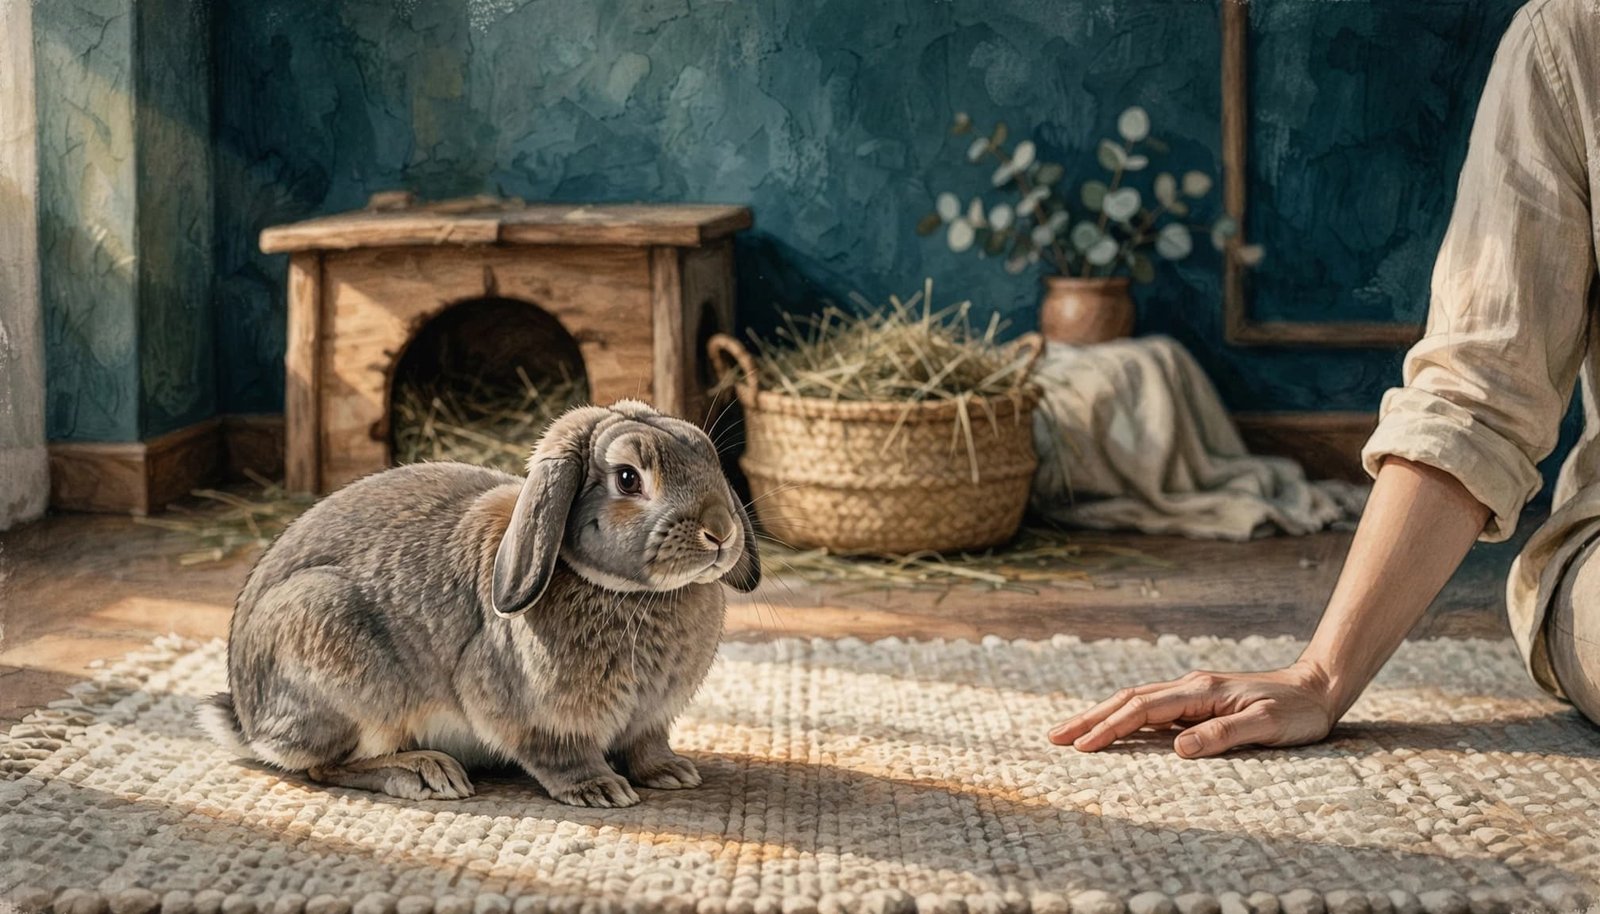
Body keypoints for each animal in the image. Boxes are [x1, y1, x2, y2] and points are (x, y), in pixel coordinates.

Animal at [196, 400, 759, 807]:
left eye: (708, 457)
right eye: (628, 479)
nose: (721, 532)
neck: (628, 592)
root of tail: (247, 716)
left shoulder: (649, 719)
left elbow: (648, 745)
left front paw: (672, 772)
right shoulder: (534, 718)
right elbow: (561, 755)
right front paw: (600, 789)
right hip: (343, 666)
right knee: (323, 764)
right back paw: (425, 773)